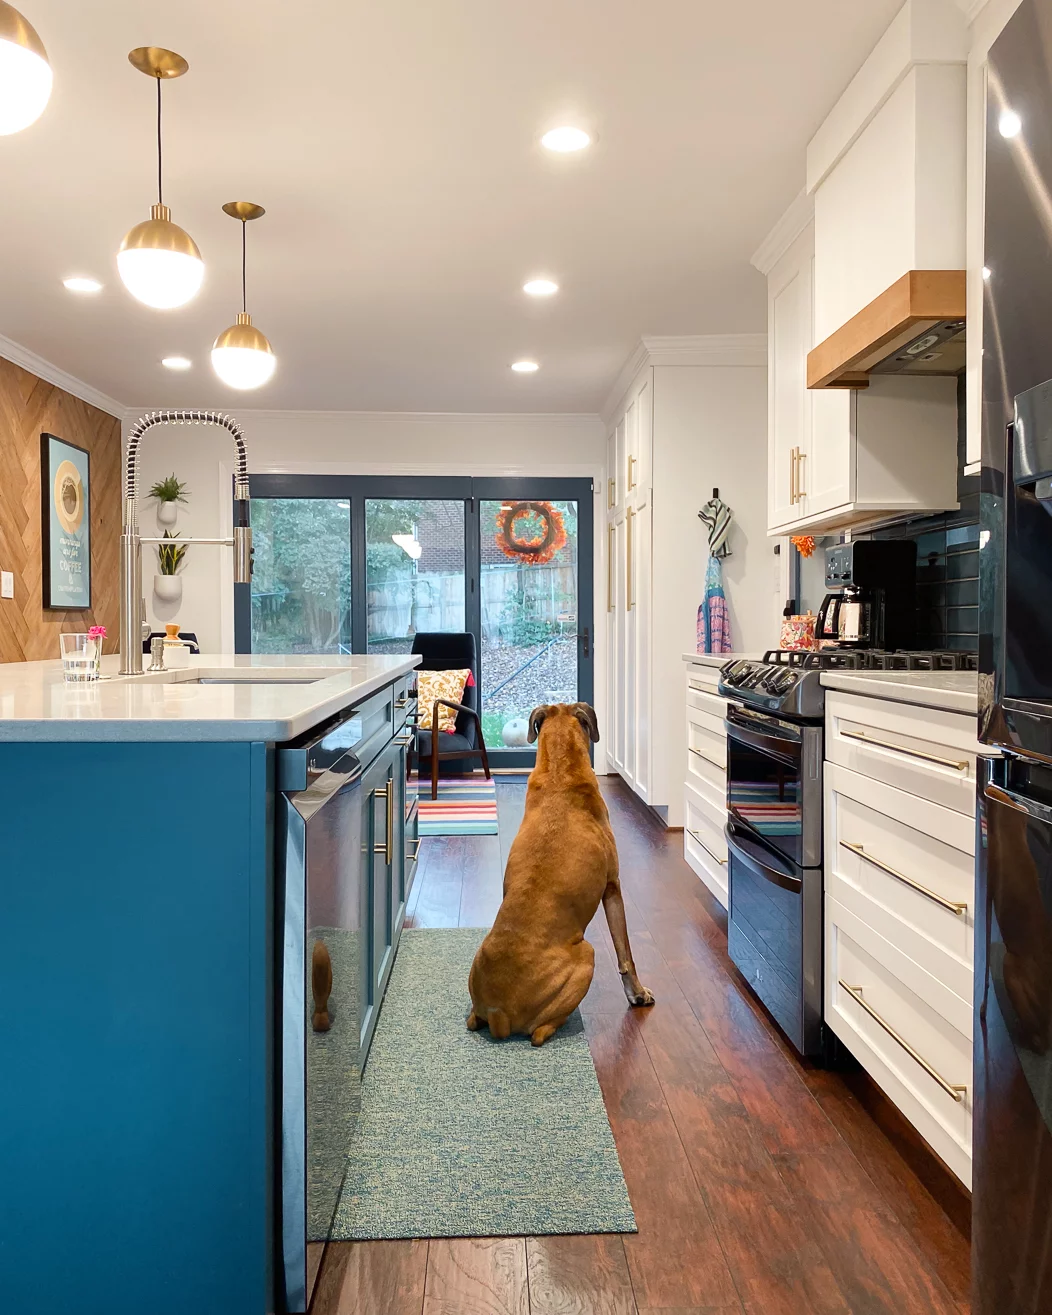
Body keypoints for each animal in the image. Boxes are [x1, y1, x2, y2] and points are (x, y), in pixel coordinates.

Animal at [465, 704, 652, 1041]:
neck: (558, 772)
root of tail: (499, 1013)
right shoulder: (613, 887)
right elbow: (625, 953)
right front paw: (638, 994)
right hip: (588, 953)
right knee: (539, 1032)